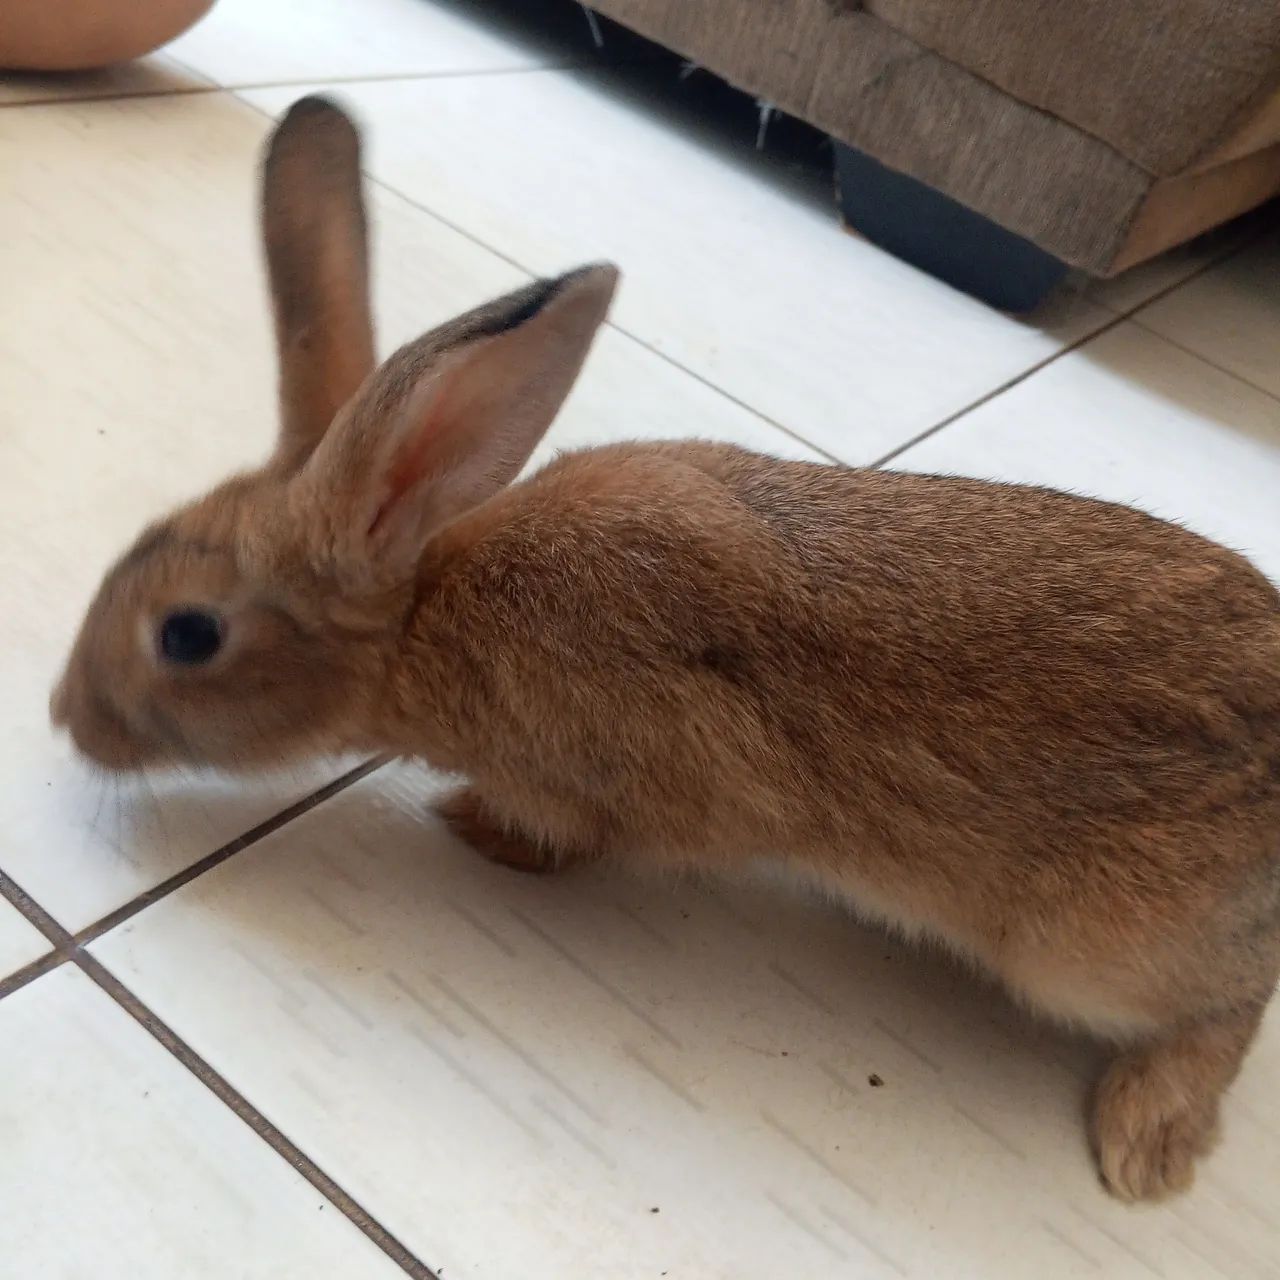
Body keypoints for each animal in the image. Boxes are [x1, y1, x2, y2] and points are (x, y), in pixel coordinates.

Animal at [51, 95, 1280, 1204]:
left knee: (1224, 1011)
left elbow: (573, 834)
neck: (425, 617)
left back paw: (1143, 1144)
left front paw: (477, 828)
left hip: (1090, 949)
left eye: (188, 633)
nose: (67, 715)